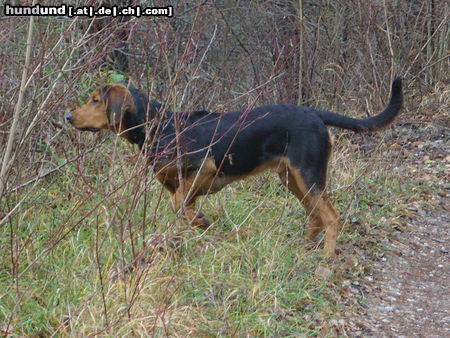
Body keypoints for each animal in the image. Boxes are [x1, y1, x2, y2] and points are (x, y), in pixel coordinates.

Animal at [67, 77, 404, 256]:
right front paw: (199, 225)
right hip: (292, 178)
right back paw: (304, 248)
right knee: (315, 215)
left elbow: (180, 204)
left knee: (331, 216)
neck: (161, 127)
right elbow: (182, 207)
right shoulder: (175, 183)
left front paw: (202, 222)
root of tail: (314, 113)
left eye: (95, 99)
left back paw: (325, 260)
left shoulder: (205, 168)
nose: (69, 117)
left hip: (308, 174)